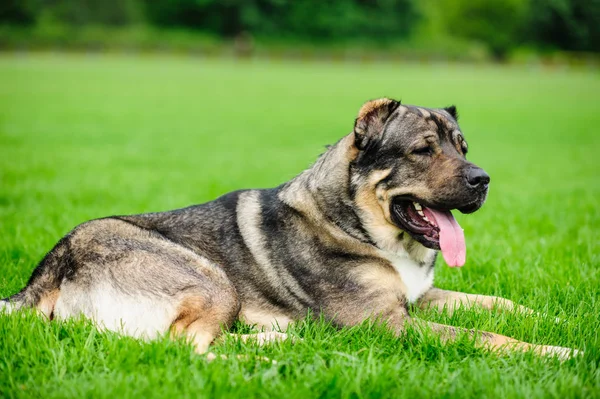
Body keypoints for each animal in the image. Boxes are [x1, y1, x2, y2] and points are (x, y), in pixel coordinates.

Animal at [1, 98, 580, 360]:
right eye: (423, 150)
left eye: (462, 146)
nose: (484, 180)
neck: (359, 225)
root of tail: (44, 273)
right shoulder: (386, 323)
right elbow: (488, 335)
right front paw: (563, 354)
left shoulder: (418, 298)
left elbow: (501, 305)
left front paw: (562, 320)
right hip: (210, 277)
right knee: (190, 348)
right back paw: (280, 350)